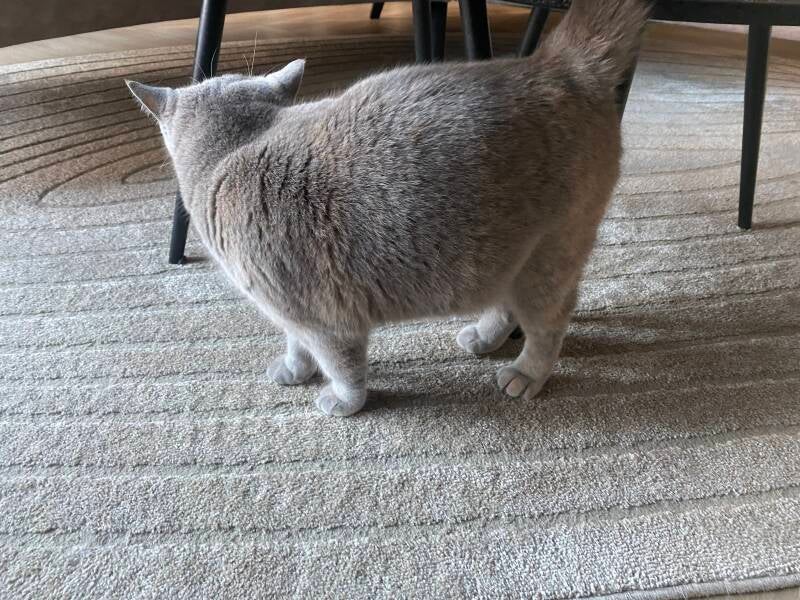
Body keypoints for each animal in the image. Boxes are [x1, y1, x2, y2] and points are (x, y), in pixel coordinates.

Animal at [127, 0, 650, 416]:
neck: (232, 151)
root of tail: (555, 63)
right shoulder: (290, 311)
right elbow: (296, 345)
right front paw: (294, 370)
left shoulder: (323, 318)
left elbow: (343, 368)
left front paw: (342, 402)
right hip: (510, 256)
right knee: (511, 307)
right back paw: (483, 339)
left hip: (548, 254)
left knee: (550, 322)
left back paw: (524, 374)